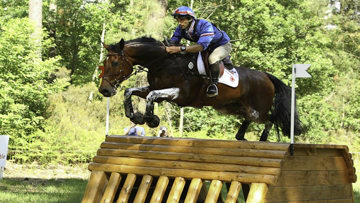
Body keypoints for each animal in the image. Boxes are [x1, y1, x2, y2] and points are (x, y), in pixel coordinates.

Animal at [97, 36, 300, 141]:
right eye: (104, 64)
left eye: (115, 63)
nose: (104, 91)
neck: (163, 61)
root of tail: (266, 76)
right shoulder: (158, 89)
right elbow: (131, 92)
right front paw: (136, 116)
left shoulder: (180, 94)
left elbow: (151, 96)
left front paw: (150, 119)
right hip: (234, 107)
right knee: (251, 119)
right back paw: (240, 136)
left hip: (258, 109)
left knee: (270, 119)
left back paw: (262, 139)